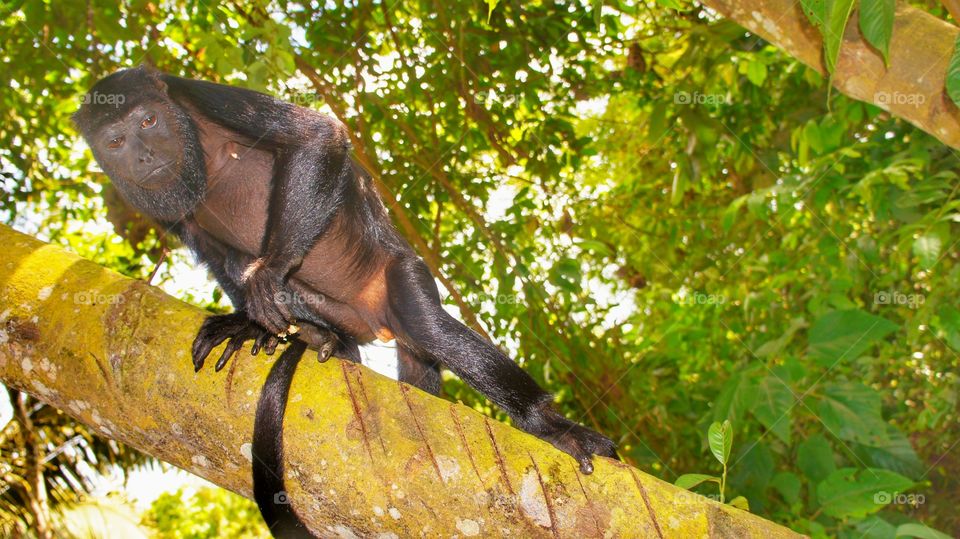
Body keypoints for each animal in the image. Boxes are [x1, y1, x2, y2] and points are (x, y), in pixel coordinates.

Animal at [73, 65, 618, 536]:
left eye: (149, 120)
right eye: (115, 142)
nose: (144, 155)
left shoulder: (193, 95)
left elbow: (316, 136)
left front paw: (268, 275)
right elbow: (210, 252)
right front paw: (248, 322)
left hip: (401, 274)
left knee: (427, 327)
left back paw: (553, 428)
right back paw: (325, 339)